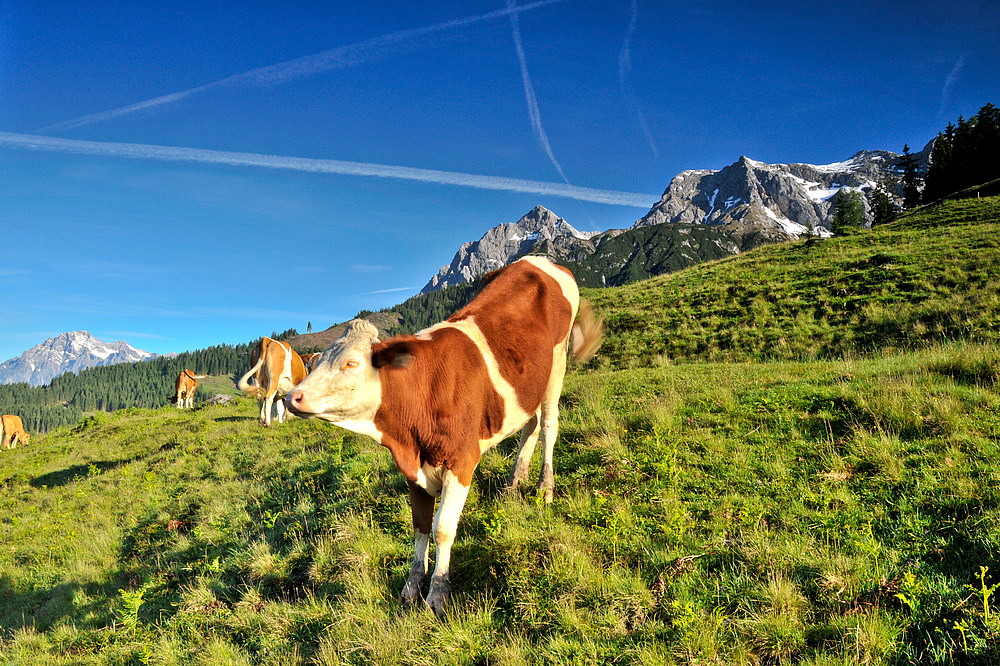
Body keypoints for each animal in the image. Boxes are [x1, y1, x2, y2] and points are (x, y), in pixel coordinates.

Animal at [286, 256, 604, 616]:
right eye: (315, 363)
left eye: (351, 363)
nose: (293, 397)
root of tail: (539, 259)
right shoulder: (412, 468)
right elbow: (420, 526)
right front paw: (412, 586)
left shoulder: (461, 461)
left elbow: (442, 528)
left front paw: (438, 592)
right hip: (527, 385)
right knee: (530, 424)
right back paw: (514, 482)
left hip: (557, 365)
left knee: (549, 424)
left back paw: (544, 487)